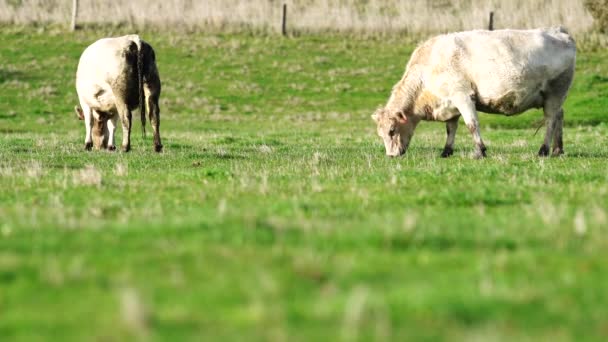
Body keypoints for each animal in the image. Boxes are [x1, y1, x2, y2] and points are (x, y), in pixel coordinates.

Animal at [372, 26, 576, 158]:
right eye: (380, 134)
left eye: (392, 130)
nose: (390, 155)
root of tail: (559, 31)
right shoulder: (450, 102)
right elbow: (450, 128)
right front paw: (446, 151)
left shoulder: (462, 96)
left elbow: (471, 125)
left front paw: (480, 151)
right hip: (555, 96)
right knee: (559, 116)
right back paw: (558, 150)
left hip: (555, 91)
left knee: (550, 119)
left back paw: (544, 150)